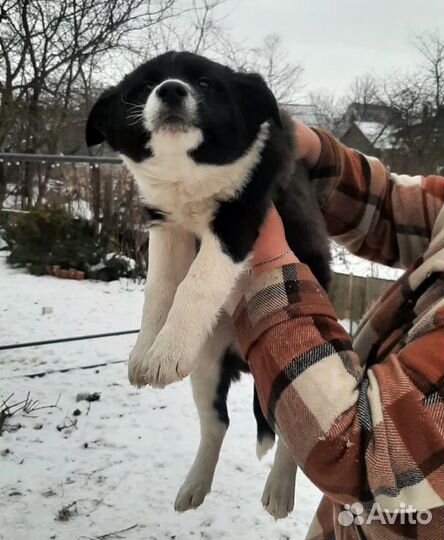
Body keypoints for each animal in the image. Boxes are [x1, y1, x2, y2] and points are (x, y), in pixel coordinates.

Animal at [86, 51, 330, 520]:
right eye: (142, 88)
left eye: (205, 83)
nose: (171, 90)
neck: (190, 177)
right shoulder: (165, 225)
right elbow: (159, 287)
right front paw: (148, 352)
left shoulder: (238, 218)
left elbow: (196, 282)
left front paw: (165, 353)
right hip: (206, 364)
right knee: (217, 423)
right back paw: (194, 486)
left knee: (293, 435)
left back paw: (279, 491)